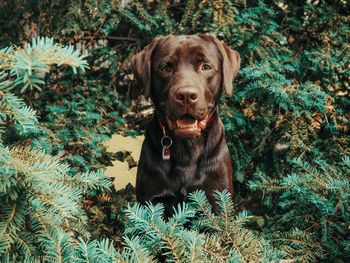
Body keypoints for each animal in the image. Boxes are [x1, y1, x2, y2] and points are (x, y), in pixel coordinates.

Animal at [131, 34, 241, 217]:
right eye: (166, 67)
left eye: (206, 67)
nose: (187, 95)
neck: (187, 148)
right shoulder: (150, 201)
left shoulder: (218, 202)